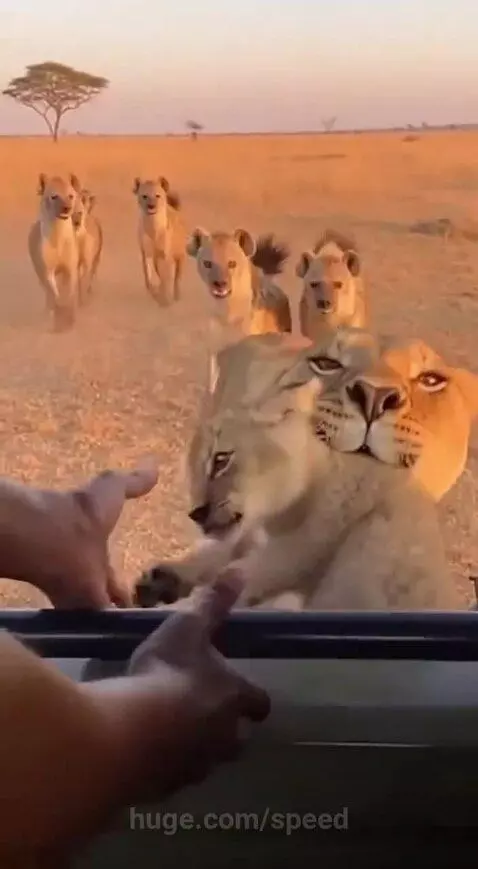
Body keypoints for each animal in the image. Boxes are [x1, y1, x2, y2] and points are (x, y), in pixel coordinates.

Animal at [28, 173, 81, 331]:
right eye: (54, 196)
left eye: (70, 196)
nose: (66, 208)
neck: (57, 237)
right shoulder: (47, 270)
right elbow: (53, 291)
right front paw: (57, 313)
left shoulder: (70, 268)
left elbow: (70, 292)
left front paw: (69, 318)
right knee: (47, 293)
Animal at [133, 175, 186, 305]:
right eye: (144, 196)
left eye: (157, 195)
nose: (151, 206)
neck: (153, 229)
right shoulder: (147, 253)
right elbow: (149, 276)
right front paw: (155, 292)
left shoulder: (165, 255)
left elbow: (166, 278)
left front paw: (164, 299)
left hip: (180, 256)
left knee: (177, 277)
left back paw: (176, 296)